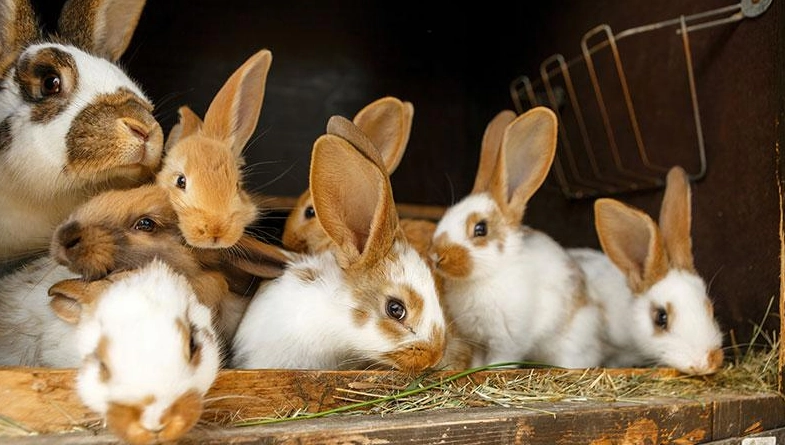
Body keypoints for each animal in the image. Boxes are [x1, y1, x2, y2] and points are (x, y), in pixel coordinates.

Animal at [428, 107, 604, 369]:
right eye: (446, 215)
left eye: (480, 229)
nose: (436, 256)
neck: (487, 275)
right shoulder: (477, 340)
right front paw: (473, 370)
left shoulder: (506, 340)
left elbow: (500, 360)